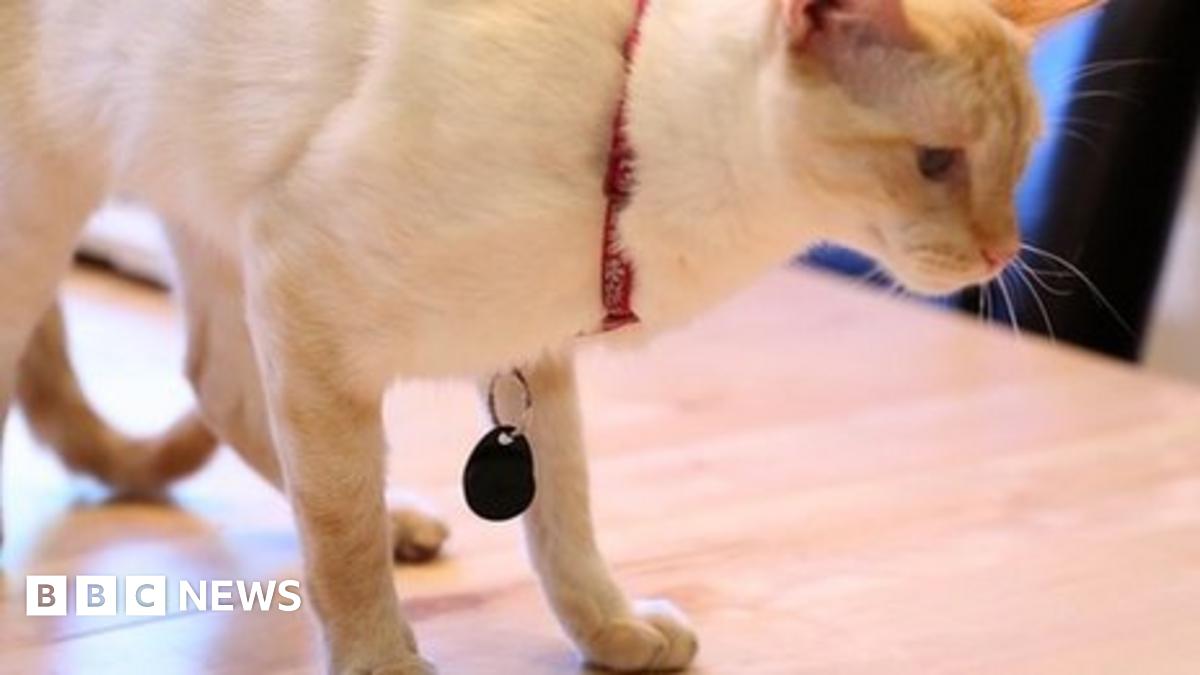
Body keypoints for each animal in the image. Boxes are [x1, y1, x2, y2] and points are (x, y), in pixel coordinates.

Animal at [0, 0, 1101, 672]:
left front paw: (610, 631)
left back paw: (407, 521)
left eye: (1022, 165)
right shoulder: (305, 288)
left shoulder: (532, 359)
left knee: (219, 386)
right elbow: (339, 540)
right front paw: (383, 657)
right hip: (46, 211)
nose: (1003, 252)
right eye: (935, 162)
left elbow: (562, 518)